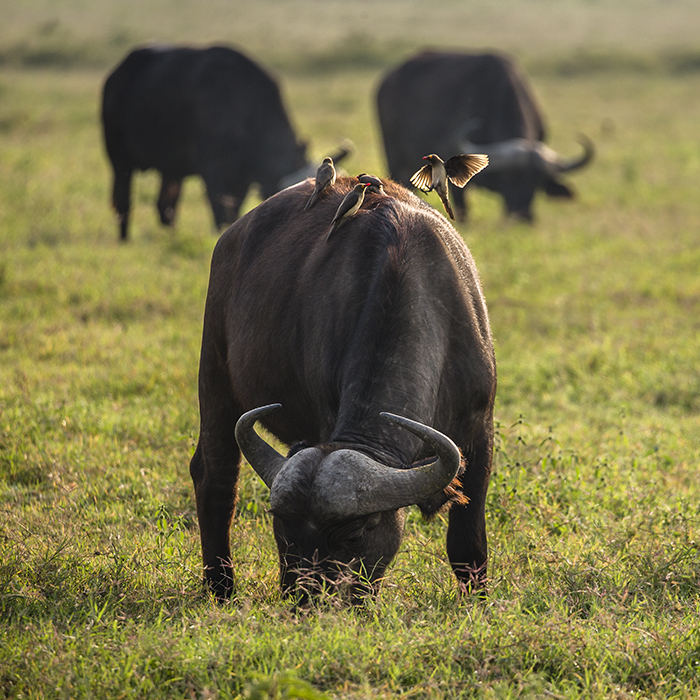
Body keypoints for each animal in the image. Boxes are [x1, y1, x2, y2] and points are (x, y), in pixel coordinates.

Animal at [102, 45, 336, 241]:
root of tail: (116, 74)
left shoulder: (242, 180)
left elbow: (233, 211)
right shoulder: (213, 173)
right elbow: (220, 212)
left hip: (171, 170)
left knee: (165, 206)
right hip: (119, 158)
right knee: (124, 201)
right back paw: (124, 239)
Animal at [190, 175, 498, 600]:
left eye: (353, 536)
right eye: (281, 527)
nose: (305, 599)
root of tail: (231, 237)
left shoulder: (480, 433)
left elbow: (468, 543)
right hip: (215, 373)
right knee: (215, 478)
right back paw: (220, 588)